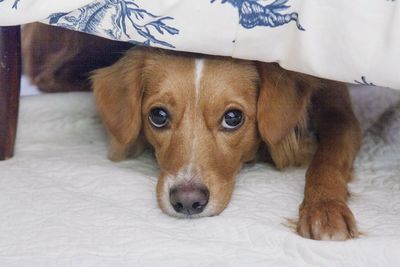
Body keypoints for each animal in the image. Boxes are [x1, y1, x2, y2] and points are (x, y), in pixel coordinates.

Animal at [91, 47, 362, 242]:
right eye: (158, 116)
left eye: (232, 118)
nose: (187, 202)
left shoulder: (340, 112)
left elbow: (328, 157)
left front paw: (324, 207)